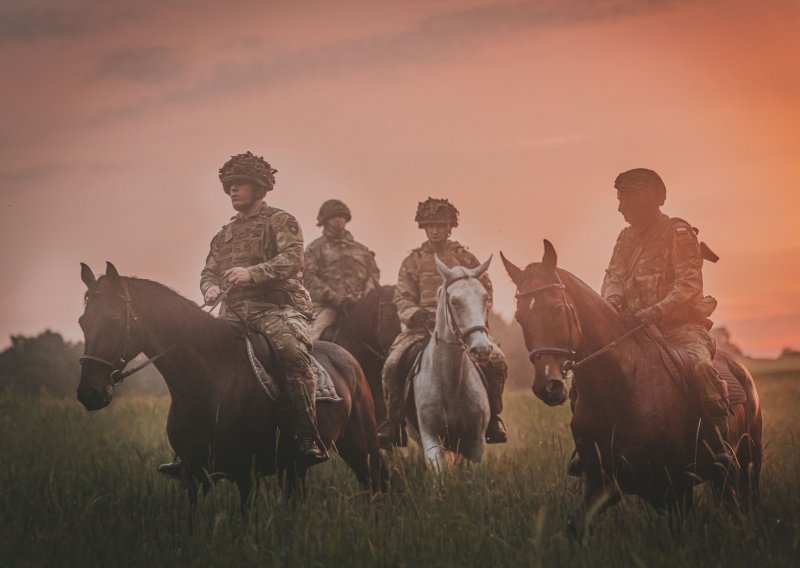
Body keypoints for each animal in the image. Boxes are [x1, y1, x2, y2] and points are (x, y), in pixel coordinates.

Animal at [76, 262, 386, 506]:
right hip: (295, 466)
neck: (210, 381)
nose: (89, 393)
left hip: (361, 446)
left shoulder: (246, 475)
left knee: (376, 485)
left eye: (114, 318)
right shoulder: (193, 474)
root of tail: (348, 359)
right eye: (82, 321)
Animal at [406, 255, 494, 468]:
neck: (450, 382)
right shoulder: (430, 439)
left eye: (485, 298)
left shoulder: (475, 443)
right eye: (455, 301)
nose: (482, 350)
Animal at [500, 242, 764, 536]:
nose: (548, 385)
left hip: (748, 461)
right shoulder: (600, 481)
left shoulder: (673, 484)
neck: (619, 389)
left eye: (558, 308)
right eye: (520, 317)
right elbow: (576, 525)